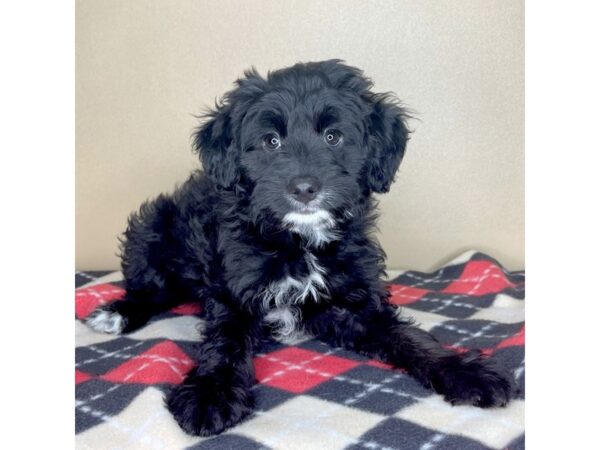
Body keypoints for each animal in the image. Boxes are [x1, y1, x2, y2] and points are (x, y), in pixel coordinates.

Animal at [86, 59, 512, 436]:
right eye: (271, 141)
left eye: (333, 137)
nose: (304, 188)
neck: (300, 243)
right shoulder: (232, 295)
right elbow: (225, 343)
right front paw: (211, 394)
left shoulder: (356, 303)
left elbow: (408, 338)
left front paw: (465, 371)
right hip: (152, 227)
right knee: (154, 289)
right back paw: (116, 313)